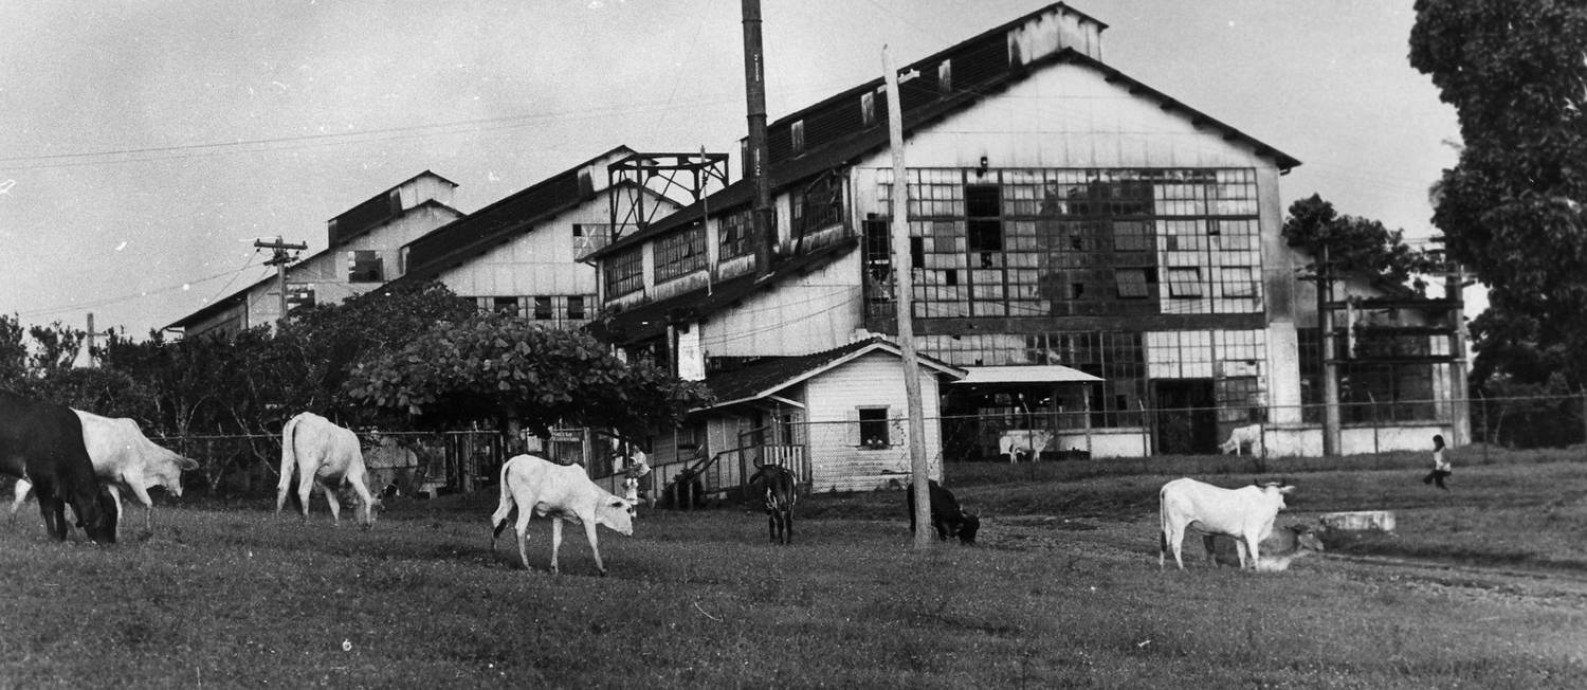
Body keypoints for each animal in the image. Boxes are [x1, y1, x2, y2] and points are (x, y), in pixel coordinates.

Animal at [0, 391, 115, 542]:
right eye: (106, 517)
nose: (110, 543)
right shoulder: (40, 477)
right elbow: (48, 508)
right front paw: (52, 536)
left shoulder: (58, 485)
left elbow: (59, 507)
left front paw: (61, 535)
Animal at [8, 409, 198, 539]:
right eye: (180, 472)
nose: (179, 493)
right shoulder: (134, 475)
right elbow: (148, 503)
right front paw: (147, 533)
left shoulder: (111, 479)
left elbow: (119, 508)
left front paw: (117, 534)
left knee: (22, 489)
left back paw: (12, 523)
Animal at [488, 453, 631, 577]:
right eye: (628, 510)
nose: (631, 532)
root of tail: (514, 460)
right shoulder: (587, 516)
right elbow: (594, 541)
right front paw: (601, 569)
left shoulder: (558, 515)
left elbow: (557, 540)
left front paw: (554, 568)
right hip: (525, 504)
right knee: (520, 528)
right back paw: (526, 565)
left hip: (507, 499)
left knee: (497, 519)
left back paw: (495, 556)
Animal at [1161, 479, 1294, 571]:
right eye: (1282, 495)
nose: (1284, 506)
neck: (1264, 501)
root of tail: (1170, 485)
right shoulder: (1251, 532)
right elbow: (1254, 553)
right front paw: (1258, 570)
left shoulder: (1240, 537)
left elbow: (1241, 553)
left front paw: (1243, 568)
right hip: (1178, 524)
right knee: (1176, 544)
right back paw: (1181, 567)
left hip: (1167, 523)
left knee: (1164, 541)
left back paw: (1161, 565)